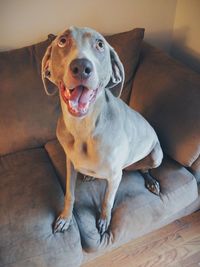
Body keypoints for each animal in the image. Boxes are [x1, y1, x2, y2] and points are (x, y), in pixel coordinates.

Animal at [41, 25, 163, 234]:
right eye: (62, 41)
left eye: (100, 44)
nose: (81, 67)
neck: (82, 129)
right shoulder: (70, 163)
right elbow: (70, 194)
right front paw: (66, 218)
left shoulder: (114, 176)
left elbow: (107, 201)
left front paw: (104, 221)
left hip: (155, 156)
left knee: (144, 168)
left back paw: (151, 182)